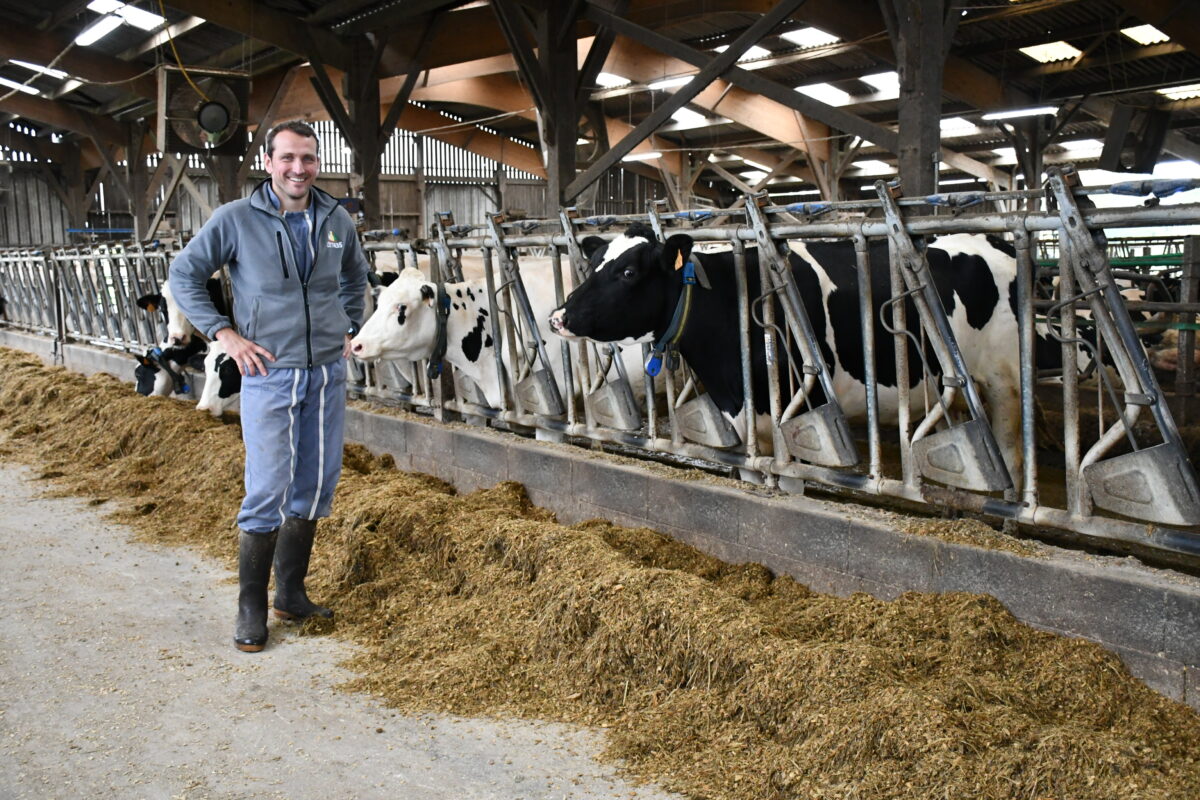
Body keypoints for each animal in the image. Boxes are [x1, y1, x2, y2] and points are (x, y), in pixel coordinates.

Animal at [549, 221, 1027, 479]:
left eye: (628, 272)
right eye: (594, 265)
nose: (558, 316)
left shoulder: (801, 407)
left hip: (1004, 379)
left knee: (1010, 450)